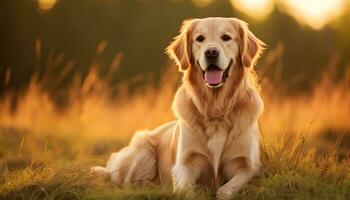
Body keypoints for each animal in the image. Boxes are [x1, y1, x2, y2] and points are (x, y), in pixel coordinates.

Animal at [93, 17, 266, 198]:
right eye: (200, 38)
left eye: (226, 37)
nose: (211, 52)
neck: (215, 110)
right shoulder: (184, 163)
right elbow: (185, 188)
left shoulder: (249, 167)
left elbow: (225, 189)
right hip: (143, 152)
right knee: (125, 184)